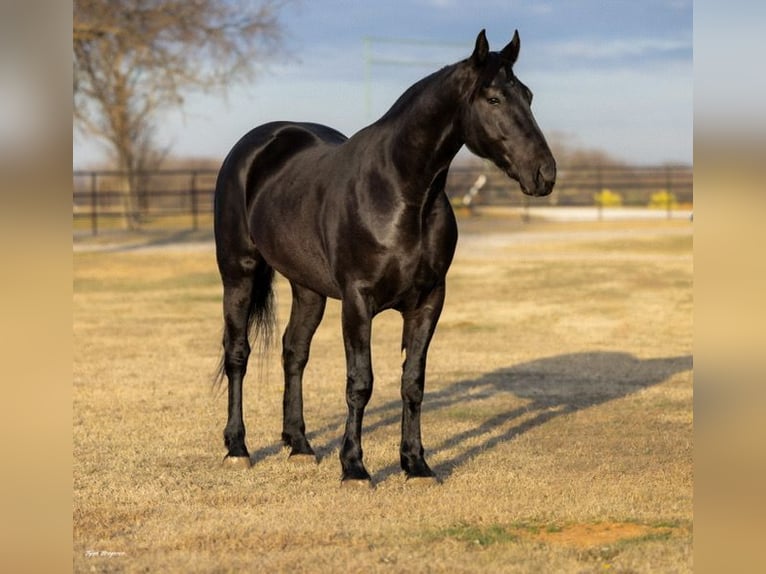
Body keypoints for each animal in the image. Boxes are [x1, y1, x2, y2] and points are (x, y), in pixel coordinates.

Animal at [213, 29, 556, 484]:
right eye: (494, 99)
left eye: (529, 96)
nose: (545, 174)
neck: (400, 193)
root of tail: (257, 145)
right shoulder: (358, 301)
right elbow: (360, 382)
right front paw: (355, 468)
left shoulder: (429, 301)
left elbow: (413, 382)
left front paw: (416, 464)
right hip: (239, 272)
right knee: (238, 354)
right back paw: (237, 447)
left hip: (308, 288)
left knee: (294, 351)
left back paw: (300, 445)